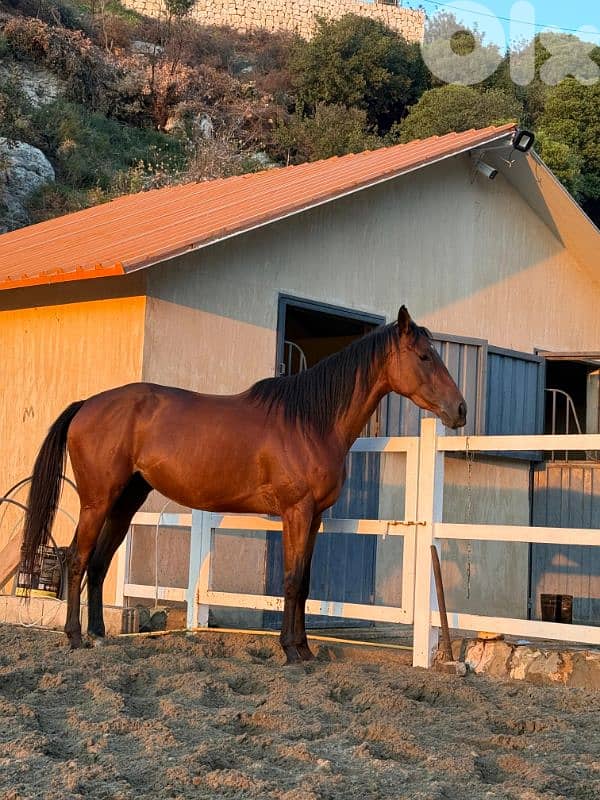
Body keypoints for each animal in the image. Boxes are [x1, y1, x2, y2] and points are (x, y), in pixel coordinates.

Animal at [20, 306, 466, 663]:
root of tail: (87, 404)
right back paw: (75, 637)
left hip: (125, 501)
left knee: (98, 564)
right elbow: (291, 579)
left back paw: (98, 636)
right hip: (97, 501)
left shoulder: (315, 518)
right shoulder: (296, 512)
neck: (310, 422)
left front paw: (305, 650)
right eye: (424, 356)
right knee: (77, 559)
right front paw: (290, 651)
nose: (459, 410)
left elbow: (305, 582)